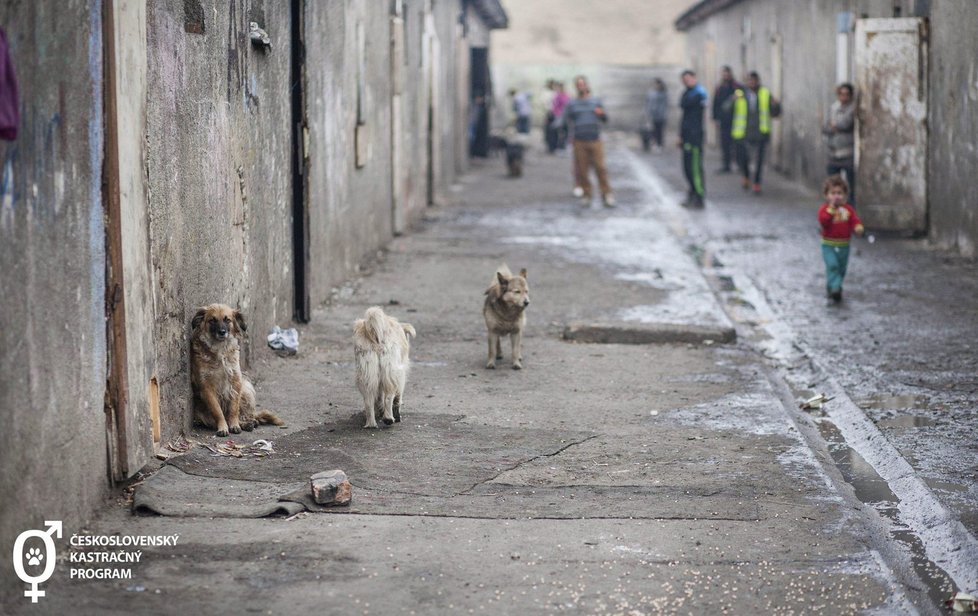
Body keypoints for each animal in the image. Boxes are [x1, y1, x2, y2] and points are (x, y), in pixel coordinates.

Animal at [189, 304, 284, 438]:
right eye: (212, 320)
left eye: (227, 320)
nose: (222, 332)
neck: (220, 350)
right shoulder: (206, 387)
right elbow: (217, 411)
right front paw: (223, 427)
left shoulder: (236, 381)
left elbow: (234, 409)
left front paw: (234, 425)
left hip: (246, 388)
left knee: (246, 414)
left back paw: (248, 423)